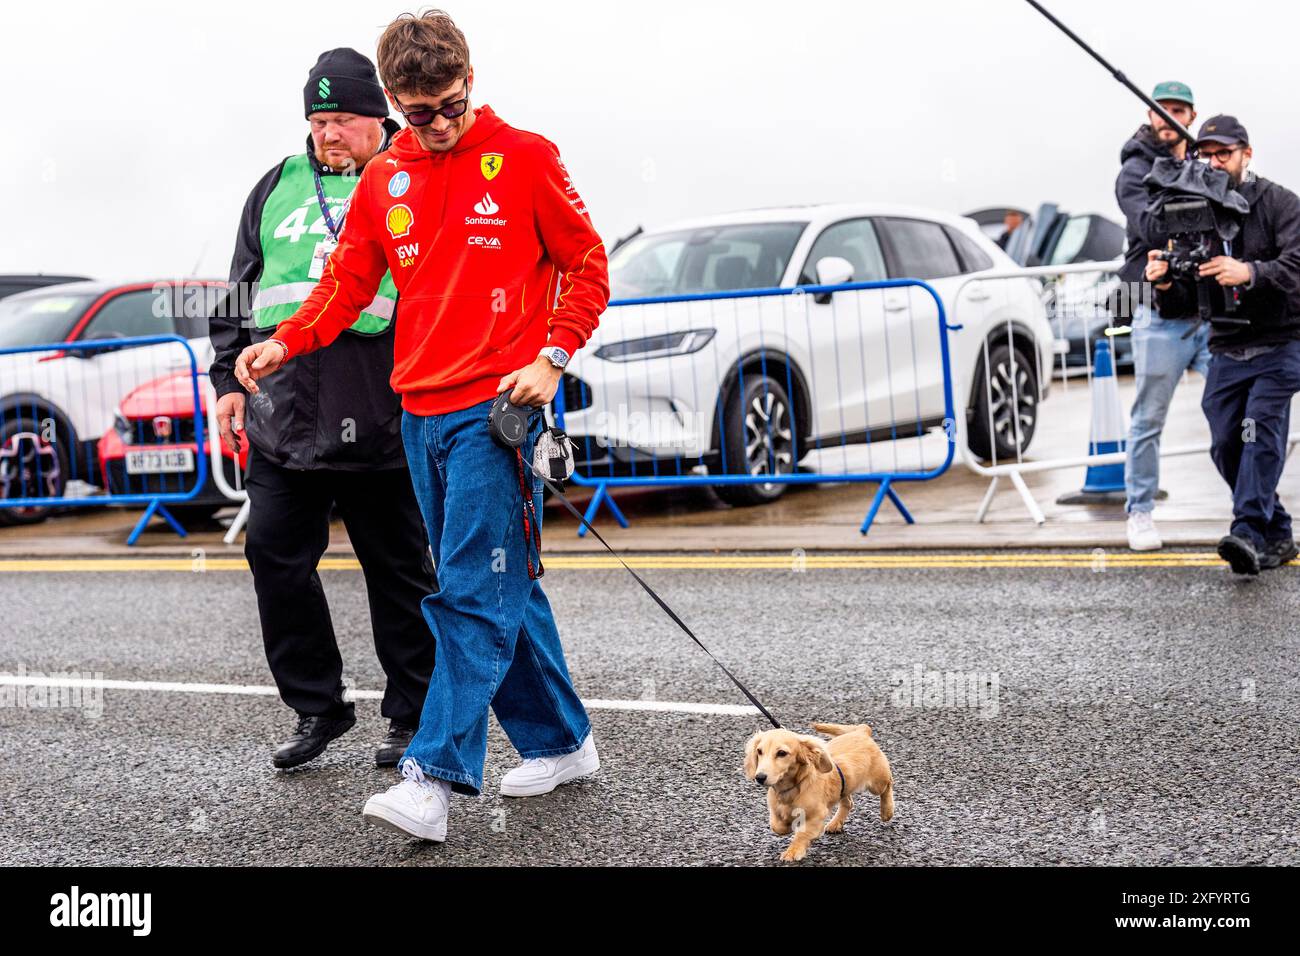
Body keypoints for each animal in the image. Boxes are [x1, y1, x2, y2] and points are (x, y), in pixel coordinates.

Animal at [748, 723, 889, 863]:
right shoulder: (775, 810)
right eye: (759, 751)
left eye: (782, 753)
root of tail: (861, 731)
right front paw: (786, 826)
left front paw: (793, 851)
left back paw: (887, 811)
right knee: (848, 803)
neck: (792, 789)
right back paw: (835, 823)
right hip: (844, 787)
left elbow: (803, 834)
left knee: (888, 785)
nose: (759, 777)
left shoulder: (816, 815)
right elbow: (777, 826)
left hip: (877, 783)